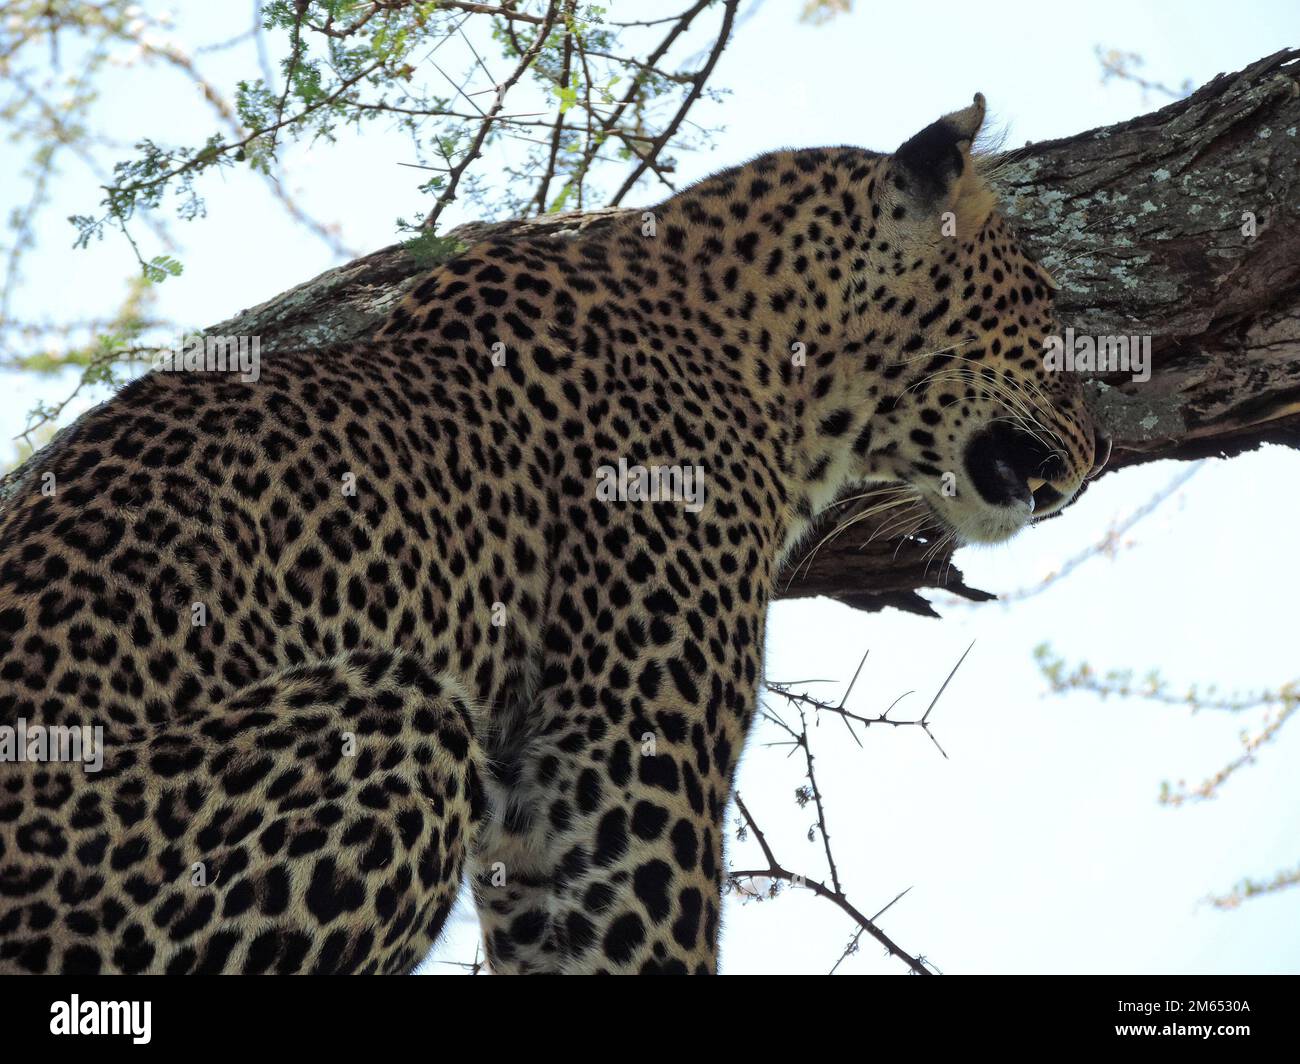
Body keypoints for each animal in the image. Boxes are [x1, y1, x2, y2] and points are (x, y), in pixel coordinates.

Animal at [0, 95, 1107, 974]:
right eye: (1045, 304)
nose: (1096, 446)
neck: (776, 369)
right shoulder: (617, 798)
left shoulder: (539, 835)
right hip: (400, 715)